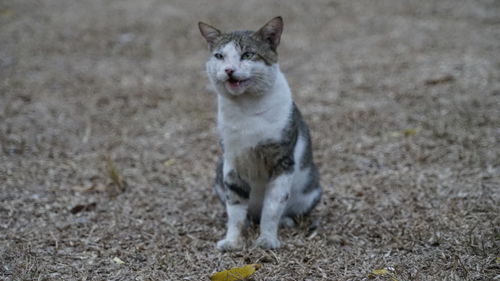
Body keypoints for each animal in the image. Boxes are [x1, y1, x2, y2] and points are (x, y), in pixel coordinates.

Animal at [198, 16, 320, 250]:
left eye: (247, 55)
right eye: (219, 56)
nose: (228, 69)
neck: (246, 109)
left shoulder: (282, 161)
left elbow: (272, 207)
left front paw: (267, 239)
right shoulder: (232, 163)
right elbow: (235, 208)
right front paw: (232, 241)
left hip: (311, 190)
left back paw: (285, 221)